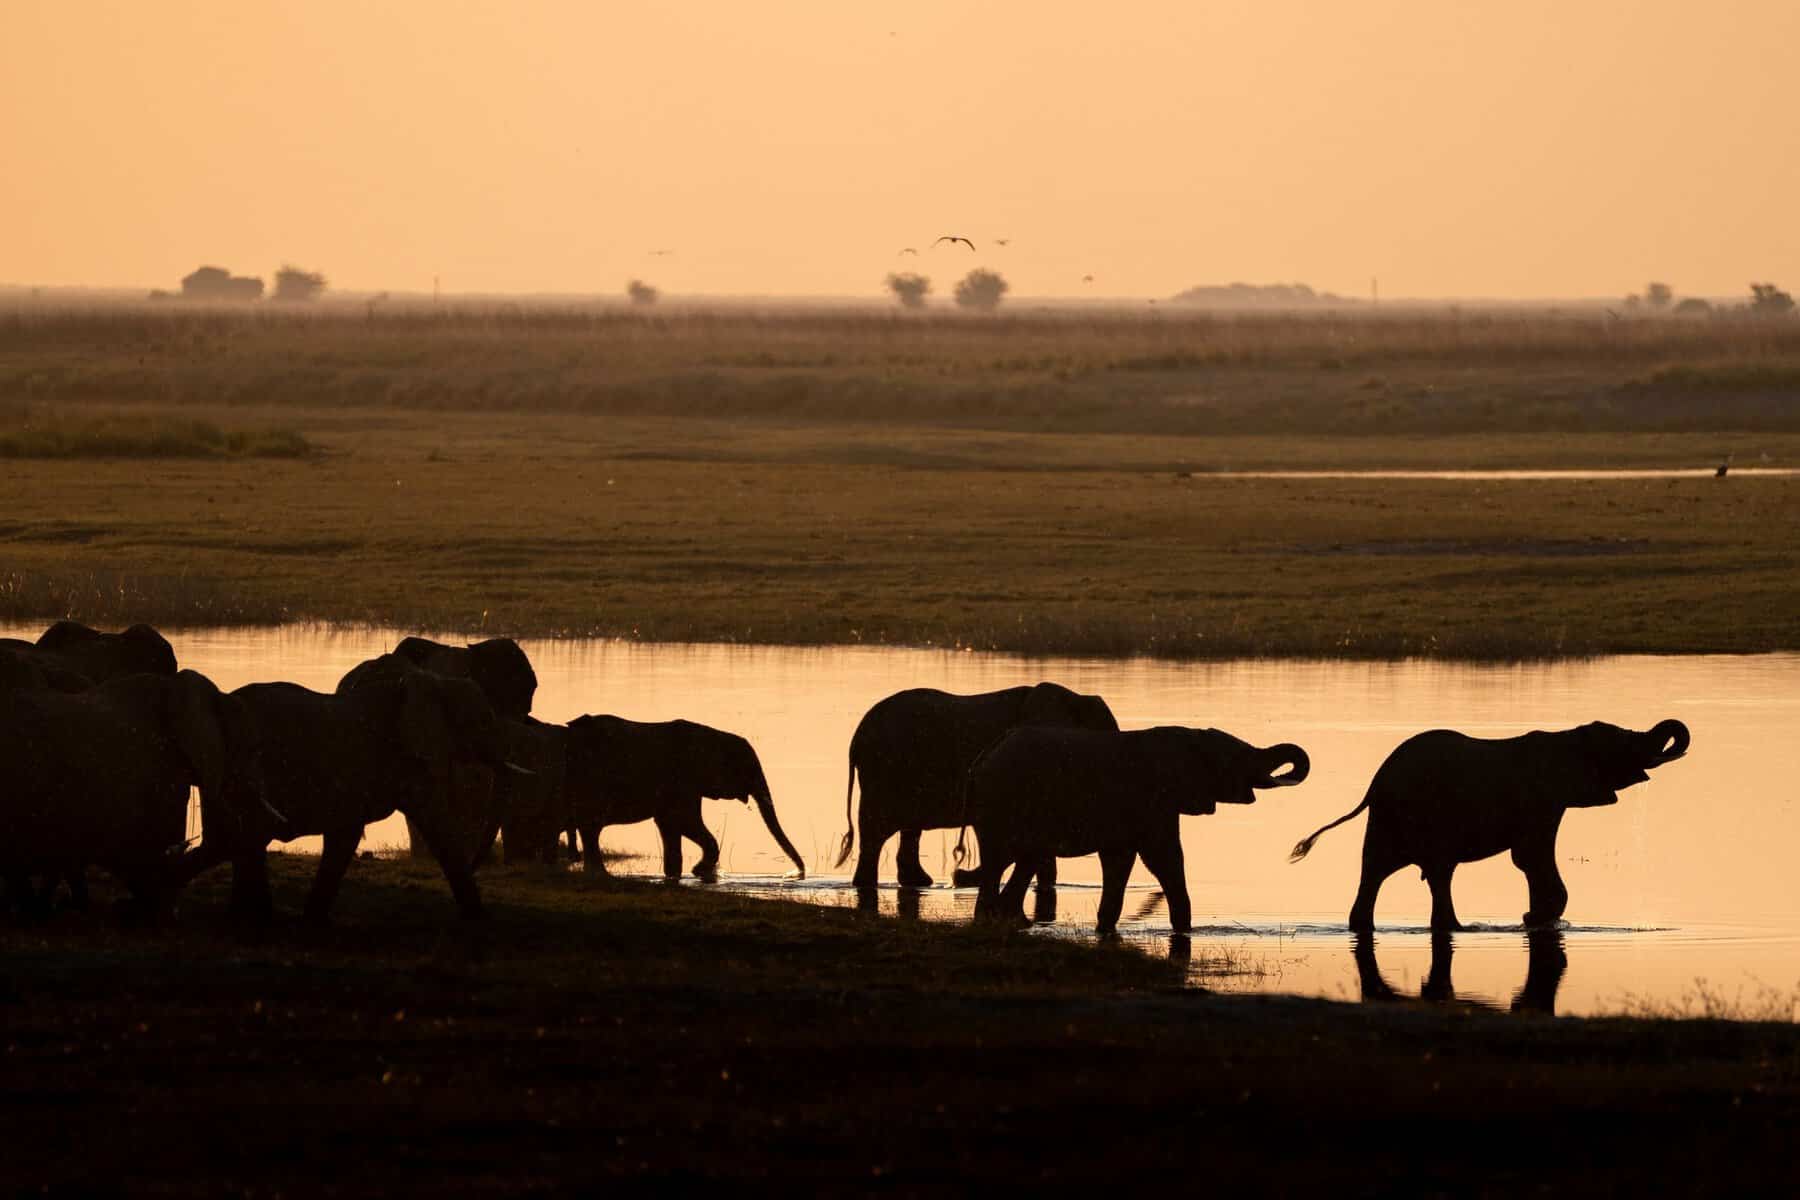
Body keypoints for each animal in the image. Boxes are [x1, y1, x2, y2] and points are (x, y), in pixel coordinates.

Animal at [180, 670, 520, 921]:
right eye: (484, 720)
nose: (481, 865)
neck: (427, 682)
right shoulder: (400, 759)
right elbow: (432, 826)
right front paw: (481, 919)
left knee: (233, 842)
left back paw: (243, 916)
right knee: (239, 840)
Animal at [564, 715, 806, 882]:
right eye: (747, 767)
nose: (795, 874)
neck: (713, 736)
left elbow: (671, 826)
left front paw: (676, 876)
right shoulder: (683, 780)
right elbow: (685, 822)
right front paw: (699, 872)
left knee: (590, 830)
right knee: (591, 828)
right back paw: (600, 875)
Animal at [834, 683, 1119, 889]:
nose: (958, 874)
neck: (1076, 699)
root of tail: (857, 737)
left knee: (908, 828)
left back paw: (919, 883)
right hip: (885, 771)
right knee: (876, 830)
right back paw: (870, 885)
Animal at [960, 725, 1310, 935]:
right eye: (1236, 757)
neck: (1187, 739)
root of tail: (981, 760)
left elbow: (1121, 860)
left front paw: (1105, 929)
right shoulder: (1152, 800)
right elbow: (1164, 858)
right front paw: (1184, 931)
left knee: (1019, 860)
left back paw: (1006, 921)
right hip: (1006, 803)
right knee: (1005, 859)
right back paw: (997, 922)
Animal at [1289, 718, 1690, 933]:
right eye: (1621, 744)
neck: (1566, 738)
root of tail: (1375, 784)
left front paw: (1535, 919)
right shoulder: (1540, 799)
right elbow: (1531, 857)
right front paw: (1536, 920)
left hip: (1390, 818)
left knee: (1383, 871)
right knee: (1426, 870)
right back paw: (1453, 928)